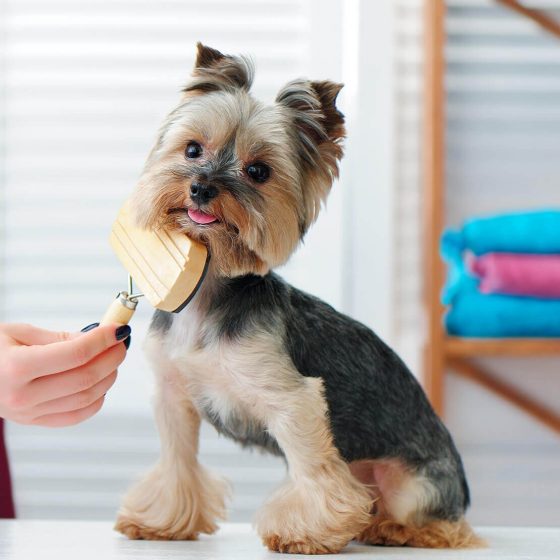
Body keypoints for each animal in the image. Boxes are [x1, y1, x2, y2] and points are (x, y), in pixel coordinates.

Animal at [114, 43, 481, 554]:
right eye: (192, 148)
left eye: (258, 171)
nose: (202, 186)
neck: (208, 293)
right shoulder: (174, 395)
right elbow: (177, 460)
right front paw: (163, 519)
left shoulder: (293, 400)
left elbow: (314, 469)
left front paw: (306, 533)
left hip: (413, 483)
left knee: (446, 525)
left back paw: (396, 528)